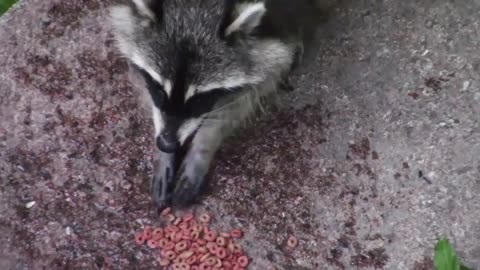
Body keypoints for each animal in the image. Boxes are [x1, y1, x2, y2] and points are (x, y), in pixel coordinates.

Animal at [109, 0, 326, 209]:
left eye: (199, 99)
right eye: (160, 90)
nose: (166, 143)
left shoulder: (278, 20)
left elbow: (258, 82)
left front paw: (203, 148)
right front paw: (164, 155)